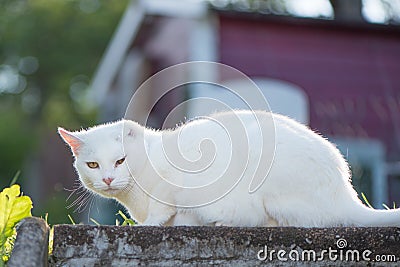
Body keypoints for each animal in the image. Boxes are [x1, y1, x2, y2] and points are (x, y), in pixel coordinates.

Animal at [59, 110, 400, 227]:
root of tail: (345, 194)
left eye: (120, 161)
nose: (107, 178)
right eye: (93, 165)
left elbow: (162, 209)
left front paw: (150, 224)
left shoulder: (173, 187)